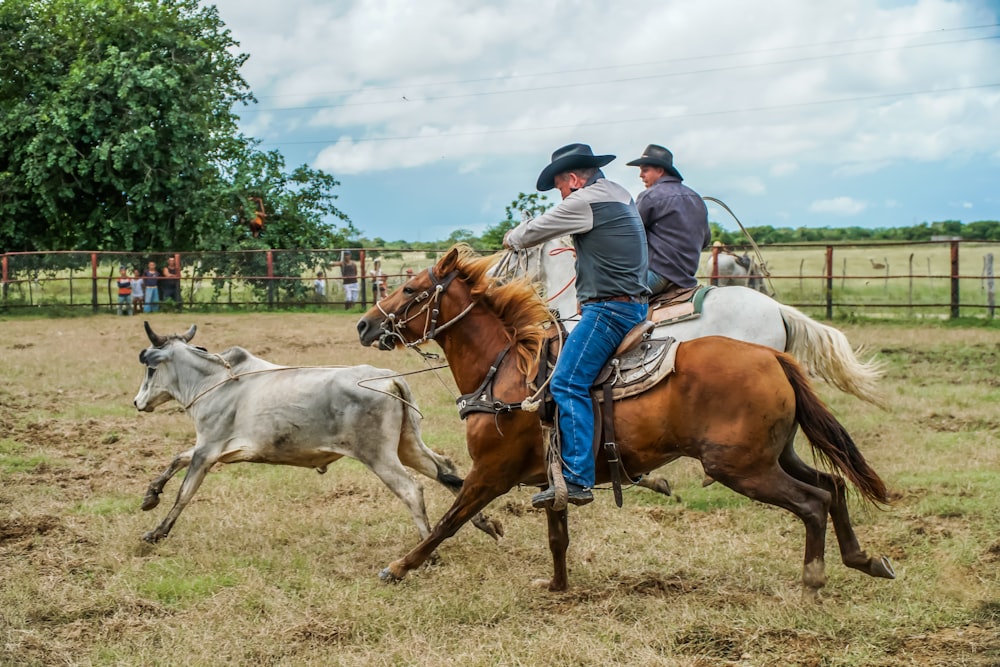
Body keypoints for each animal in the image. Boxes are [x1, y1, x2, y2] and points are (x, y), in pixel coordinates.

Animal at [135, 324, 500, 548]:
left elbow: (184, 492)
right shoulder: (208, 450)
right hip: (408, 446)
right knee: (447, 472)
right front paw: (150, 496)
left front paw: (157, 531)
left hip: (379, 457)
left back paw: (428, 548)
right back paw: (483, 523)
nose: (138, 402)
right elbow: (175, 460)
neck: (216, 381)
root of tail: (389, 378)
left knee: (412, 489)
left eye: (151, 368)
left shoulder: (207, 451)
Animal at [356, 247, 896, 600]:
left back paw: (814, 581)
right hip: (773, 454)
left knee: (813, 502)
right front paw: (557, 586)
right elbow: (557, 534)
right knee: (833, 486)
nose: (364, 324)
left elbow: (449, 522)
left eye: (410, 288)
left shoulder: (491, 472)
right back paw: (865, 560)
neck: (508, 371)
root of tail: (771, 357)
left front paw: (399, 567)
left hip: (740, 467)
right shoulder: (551, 475)